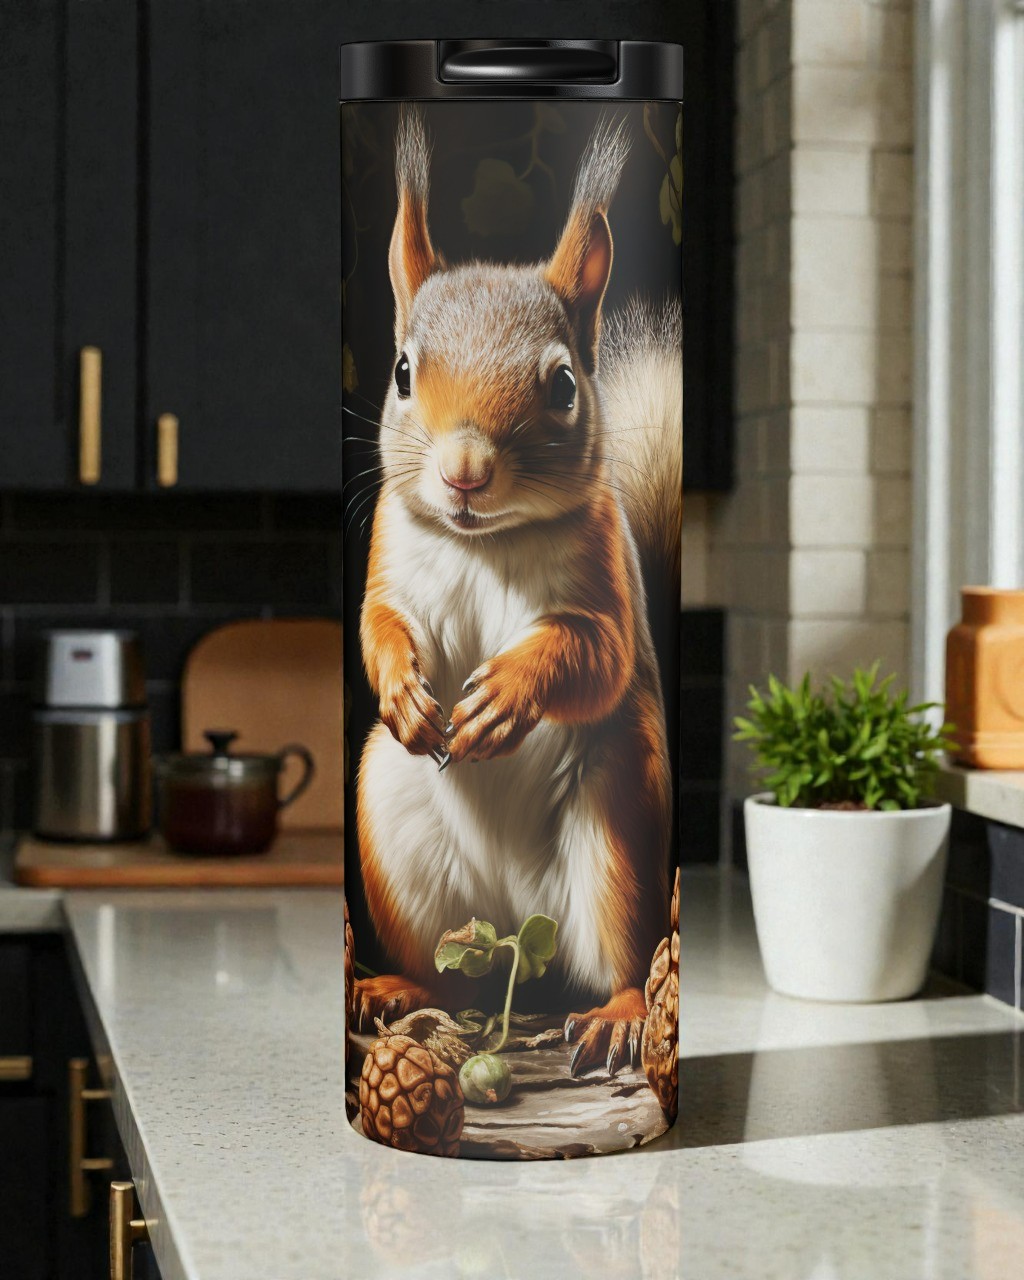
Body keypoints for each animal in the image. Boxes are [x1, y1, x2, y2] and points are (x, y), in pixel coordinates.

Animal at [353, 112, 682, 1078]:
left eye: (565, 384)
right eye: (401, 372)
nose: (464, 470)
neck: (482, 545)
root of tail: (510, 937)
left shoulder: (604, 582)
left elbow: (593, 653)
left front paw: (503, 696)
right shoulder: (390, 556)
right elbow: (377, 624)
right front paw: (403, 689)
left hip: (615, 826)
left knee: (621, 956)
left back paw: (616, 1015)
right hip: (391, 823)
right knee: (443, 970)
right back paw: (399, 988)